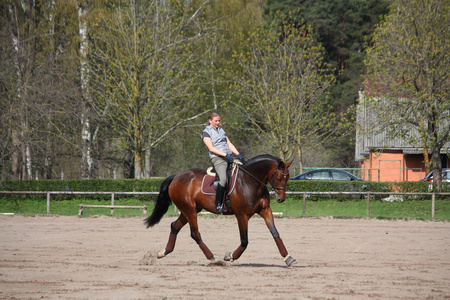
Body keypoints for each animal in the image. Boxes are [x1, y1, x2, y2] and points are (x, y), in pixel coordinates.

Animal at [144, 154, 298, 266]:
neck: (250, 181)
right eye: (279, 177)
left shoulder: (265, 210)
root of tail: (176, 176)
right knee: (195, 234)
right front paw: (230, 256)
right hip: (190, 210)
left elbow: (275, 233)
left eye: (288, 177)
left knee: (174, 226)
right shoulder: (242, 215)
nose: (281, 199)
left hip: (189, 210)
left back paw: (163, 252)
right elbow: (244, 241)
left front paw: (288, 257)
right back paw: (212, 258)